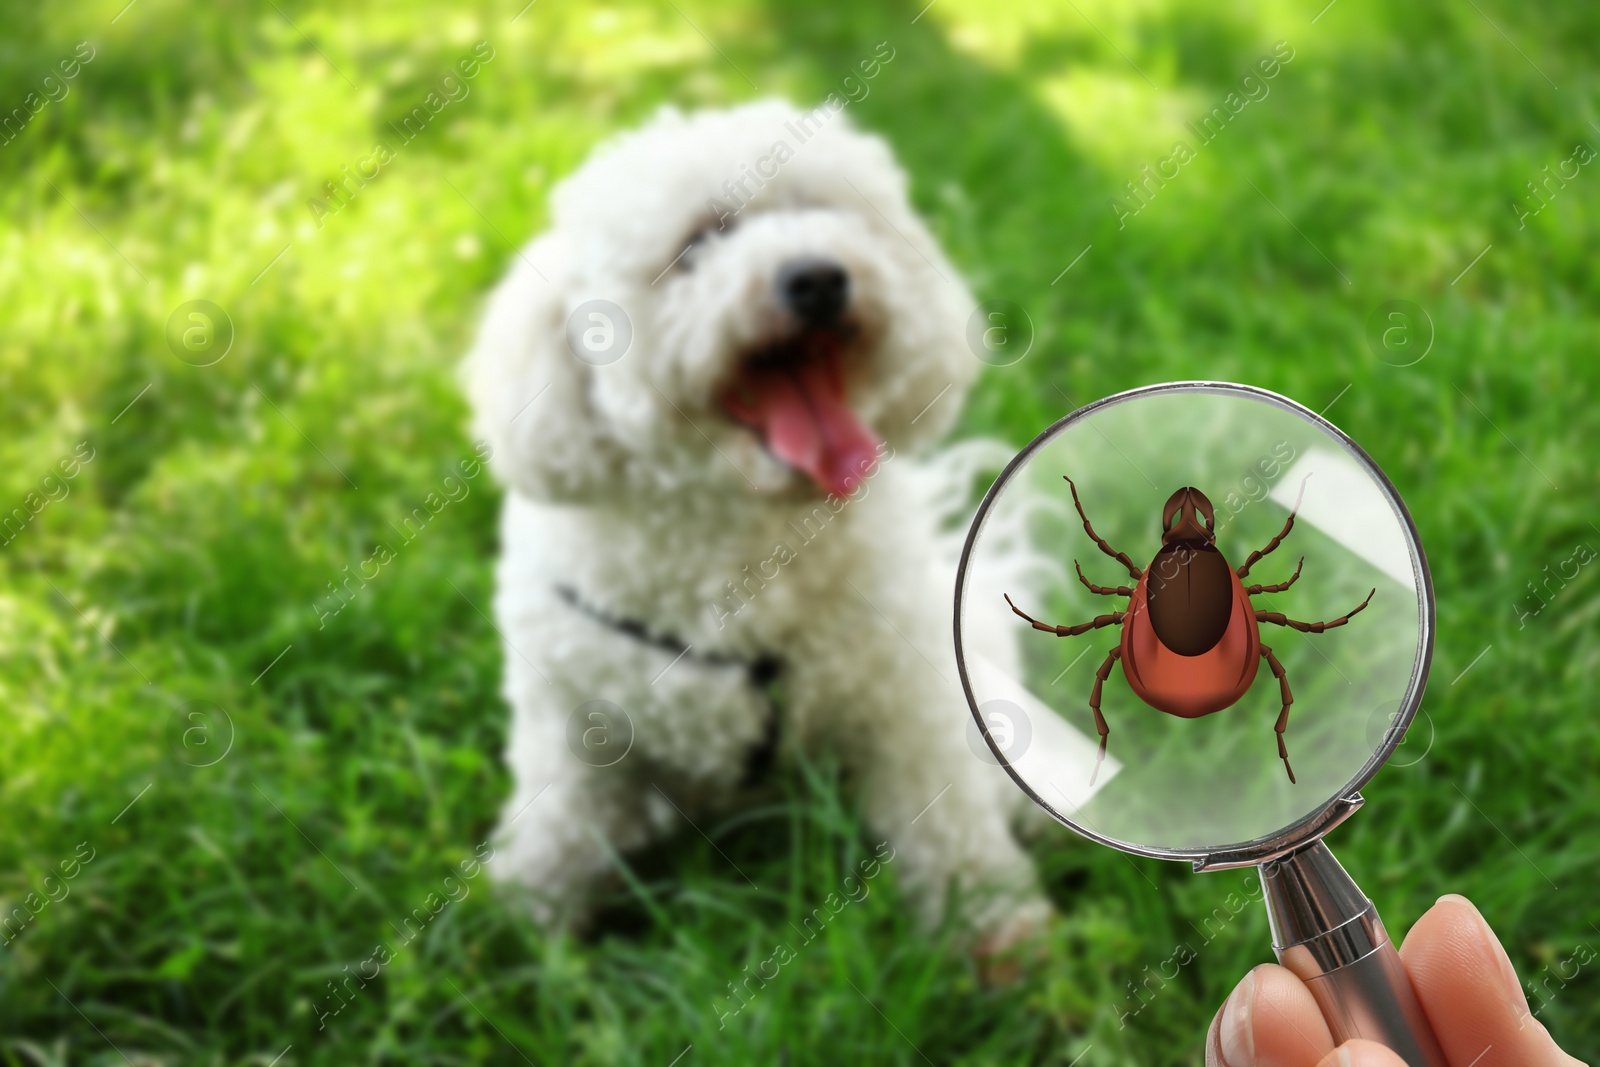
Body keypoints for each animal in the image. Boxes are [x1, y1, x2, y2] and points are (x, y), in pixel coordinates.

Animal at [460, 99, 1075, 947]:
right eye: (695, 246)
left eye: (825, 212)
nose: (817, 277)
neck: (746, 538)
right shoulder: (572, 714)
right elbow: (562, 820)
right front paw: (530, 918)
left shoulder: (905, 702)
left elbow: (948, 822)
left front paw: (992, 928)